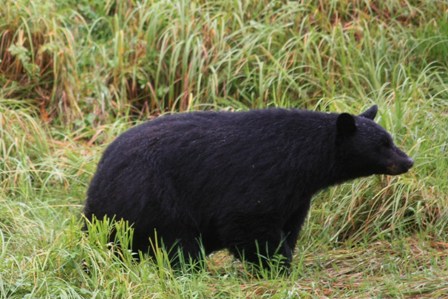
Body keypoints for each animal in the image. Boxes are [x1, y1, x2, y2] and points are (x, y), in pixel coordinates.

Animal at [84, 106, 412, 270]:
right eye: (383, 144)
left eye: (390, 139)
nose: (408, 161)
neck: (304, 163)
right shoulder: (260, 179)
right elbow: (248, 223)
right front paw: (277, 265)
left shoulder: (295, 196)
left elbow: (289, 225)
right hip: (153, 195)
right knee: (175, 242)